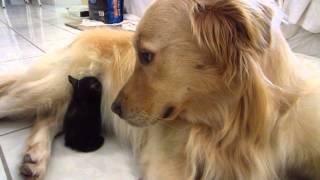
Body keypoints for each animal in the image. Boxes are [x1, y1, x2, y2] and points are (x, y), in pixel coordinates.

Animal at [1, 0, 320, 179]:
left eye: (145, 56)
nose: (114, 108)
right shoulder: (170, 159)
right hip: (47, 86)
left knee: (48, 116)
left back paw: (34, 157)